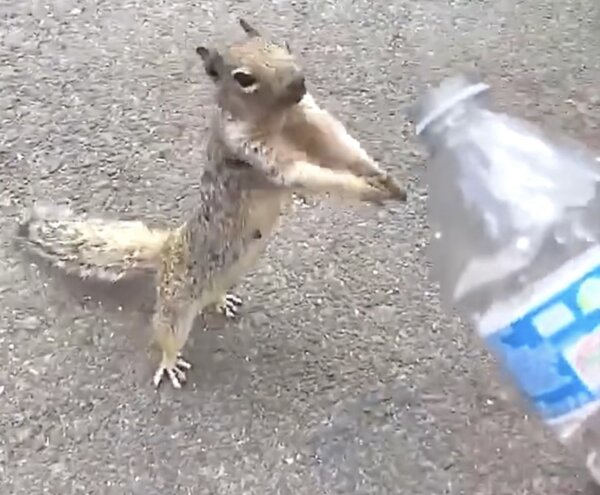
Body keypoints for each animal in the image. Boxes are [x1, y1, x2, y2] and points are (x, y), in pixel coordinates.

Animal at [16, 18, 408, 392]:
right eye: (243, 79)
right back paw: (169, 362)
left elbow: (340, 146)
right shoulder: (253, 154)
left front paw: (382, 178)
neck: (278, 119)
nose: (299, 82)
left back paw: (221, 301)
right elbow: (308, 174)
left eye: (283, 44)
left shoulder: (311, 120)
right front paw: (367, 190)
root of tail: (168, 248)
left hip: (229, 271)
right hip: (176, 300)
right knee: (166, 328)